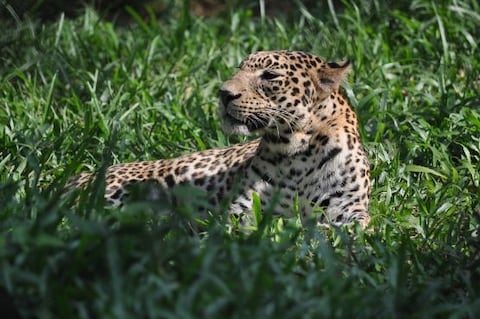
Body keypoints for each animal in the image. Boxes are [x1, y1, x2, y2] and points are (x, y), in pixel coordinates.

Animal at [68, 50, 372, 229]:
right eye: (239, 69)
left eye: (270, 75)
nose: (224, 93)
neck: (297, 150)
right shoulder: (242, 209)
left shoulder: (348, 207)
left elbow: (355, 229)